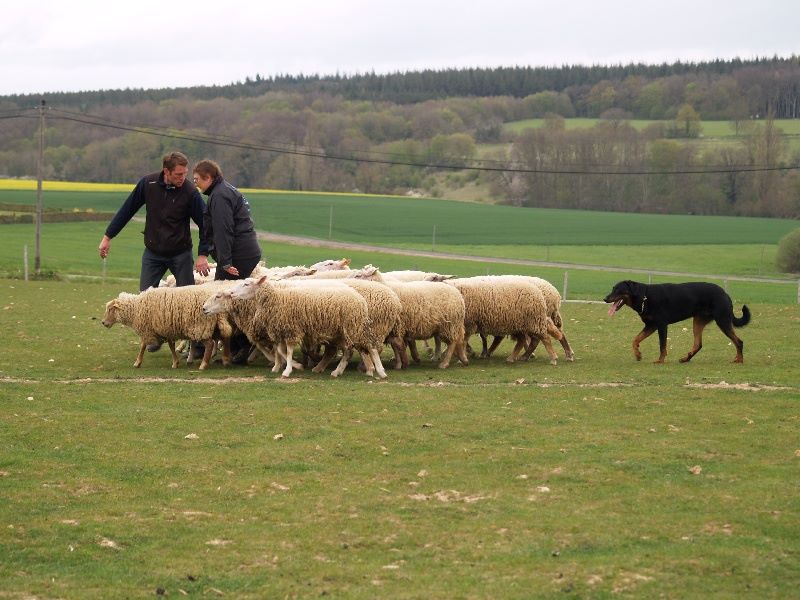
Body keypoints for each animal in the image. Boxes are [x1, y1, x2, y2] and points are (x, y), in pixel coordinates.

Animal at [101, 284, 233, 368]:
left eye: (110, 309)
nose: (103, 322)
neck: (136, 308)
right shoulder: (166, 328)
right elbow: (171, 346)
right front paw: (175, 363)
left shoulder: (148, 328)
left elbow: (143, 346)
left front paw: (137, 362)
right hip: (214, 326)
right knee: (225, 339)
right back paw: (226, 360)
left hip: (199, 327)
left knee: (210, 344)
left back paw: (204, 365)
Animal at [608, 280, 752, 364]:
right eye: (612, 288)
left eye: (618, 289)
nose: (605, 298)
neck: (644, 296)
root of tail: (725, 294)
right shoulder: (650, 326)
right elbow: (635, 340)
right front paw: (638, 355)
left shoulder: (661, 325)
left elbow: (662, 345)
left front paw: (660, 360)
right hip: (698, 321)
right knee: (698, 344)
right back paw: (686, 358)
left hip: (722, 320)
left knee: (739, 341)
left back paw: (739, 359)